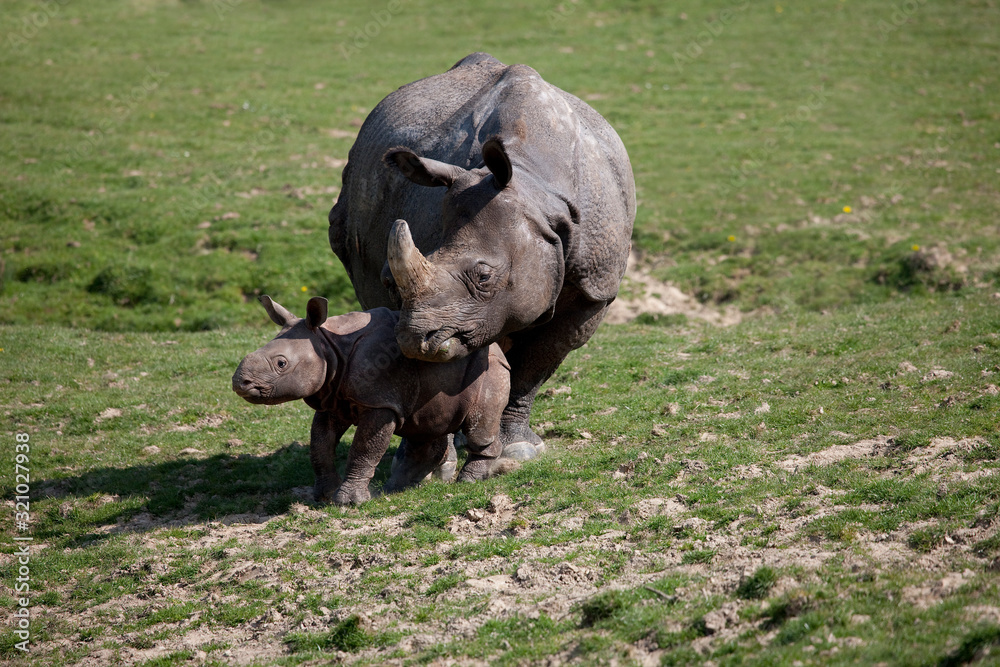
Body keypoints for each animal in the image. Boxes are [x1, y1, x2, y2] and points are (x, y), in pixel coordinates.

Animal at [231, 295, 510, 505]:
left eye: (281, 364)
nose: (239, 383)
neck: (328, 344)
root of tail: (497, 347)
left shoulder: (379, 402)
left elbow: (364, 448)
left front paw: (348, 502)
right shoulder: (333, 398)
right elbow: (320, 445)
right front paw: (324, 496)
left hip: (488, 367)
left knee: (477, 426)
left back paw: (469, 480)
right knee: (422, 427)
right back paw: (396, 489)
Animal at [328, 52, 635, 470]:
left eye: (484, 277)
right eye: (390, 281)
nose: (416, 338)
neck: (535, 186)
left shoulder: (594, 287)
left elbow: (534, 365)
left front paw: (518, 448)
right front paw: (428, 463)